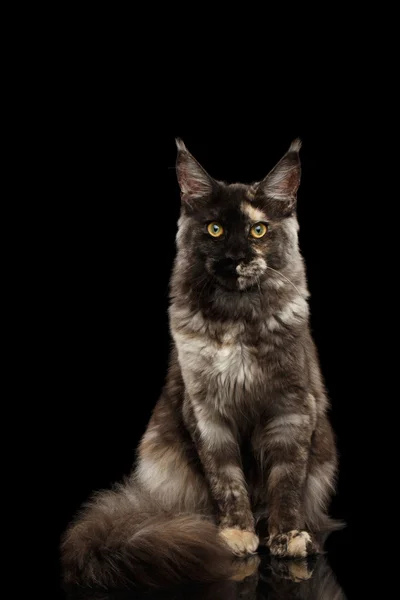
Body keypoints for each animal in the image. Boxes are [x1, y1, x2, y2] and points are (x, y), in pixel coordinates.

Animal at [61, 138, 342, 592]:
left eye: (258, 230)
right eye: (214, 229)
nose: (236, 256)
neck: (236, 318)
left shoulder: (291, 408)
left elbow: (286, 481)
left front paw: (288, 535)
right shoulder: (206, 412)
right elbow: (226, 480)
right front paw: (236, 534)